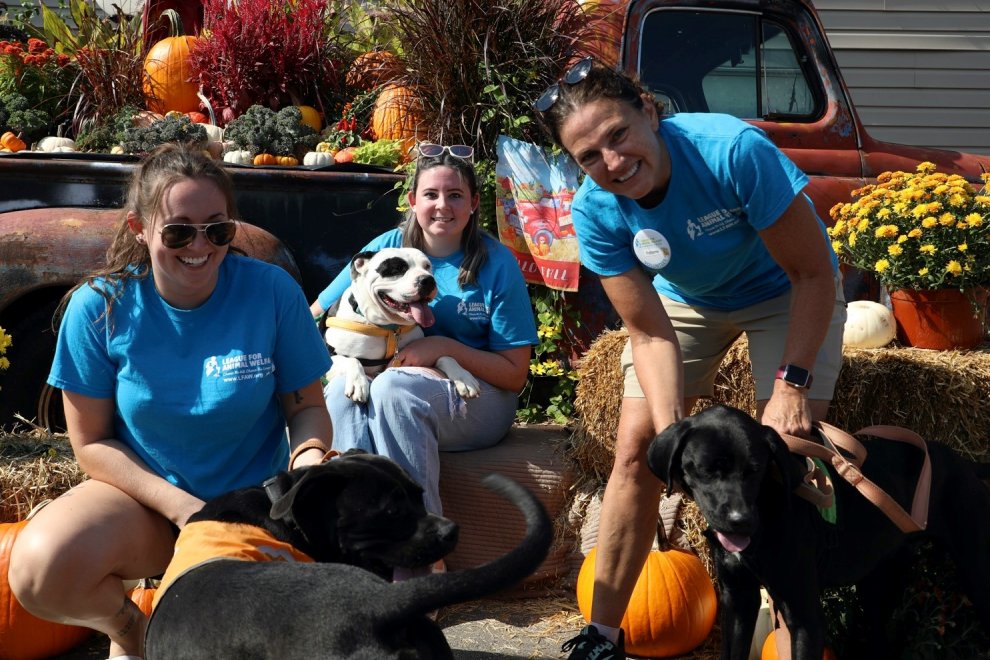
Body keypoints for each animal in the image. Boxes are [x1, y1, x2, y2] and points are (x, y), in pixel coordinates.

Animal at [326, 248, 480, 402]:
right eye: (397, 269)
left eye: (427, 266)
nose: (428, 280)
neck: (389, 327)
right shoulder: (329, 361)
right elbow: (351, 360)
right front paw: (358, 382)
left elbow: (445, 357)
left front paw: (463, 377)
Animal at [652, 404, 990, 656]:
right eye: (708, 471)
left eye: (755, 469)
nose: (741, 521)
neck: (767, 505)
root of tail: (967, 463)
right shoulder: (738, 601)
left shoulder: (805, 616)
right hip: (879, 581)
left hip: (976, 570)